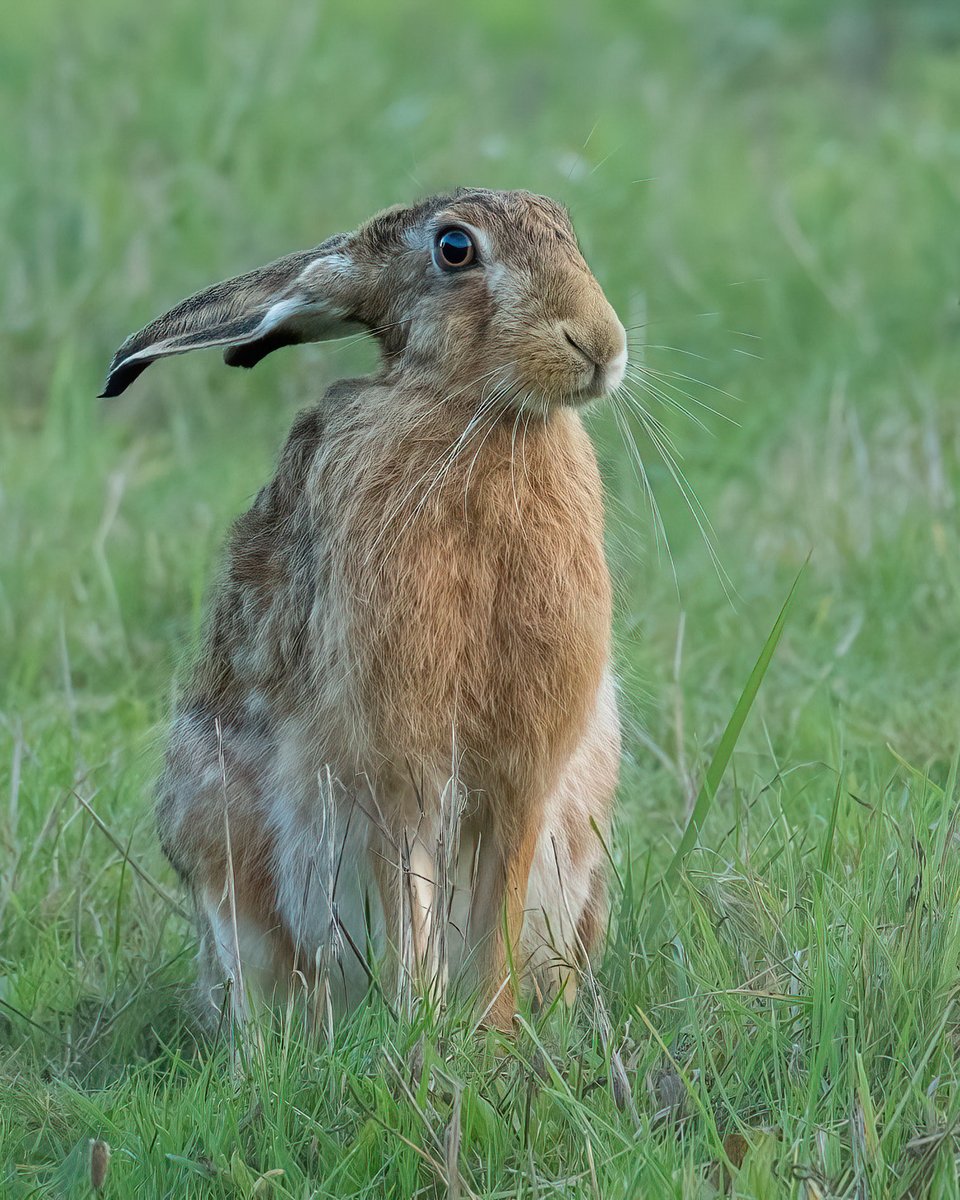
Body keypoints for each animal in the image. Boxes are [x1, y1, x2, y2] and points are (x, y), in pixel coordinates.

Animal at [101, 188, 626, 1033]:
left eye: (564, 226)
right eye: (454, 249)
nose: (600, 345)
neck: (476, 413)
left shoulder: (524, 783)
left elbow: (497, 911)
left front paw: (488, 1037)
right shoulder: (390, 767)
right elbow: (407, 897)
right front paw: (424, 1029)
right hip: (220, 841)